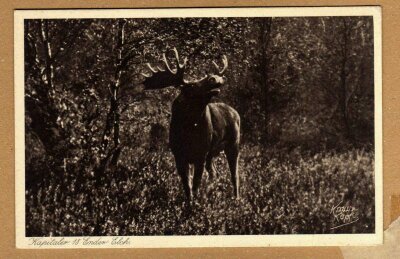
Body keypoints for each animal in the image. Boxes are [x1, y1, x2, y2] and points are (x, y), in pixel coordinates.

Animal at [141, 48, 241, 201]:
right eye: (192, 85)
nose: (215, 78)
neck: (188, 130)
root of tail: (235, 112)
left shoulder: (200, 153)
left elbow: (195, 184)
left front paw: (195, 204)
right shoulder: (179, 154)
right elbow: (187, 186)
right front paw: (190, 203)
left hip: (233, 143)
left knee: (234, 174)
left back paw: (236, 199)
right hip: (212, 153)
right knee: (214, 173)